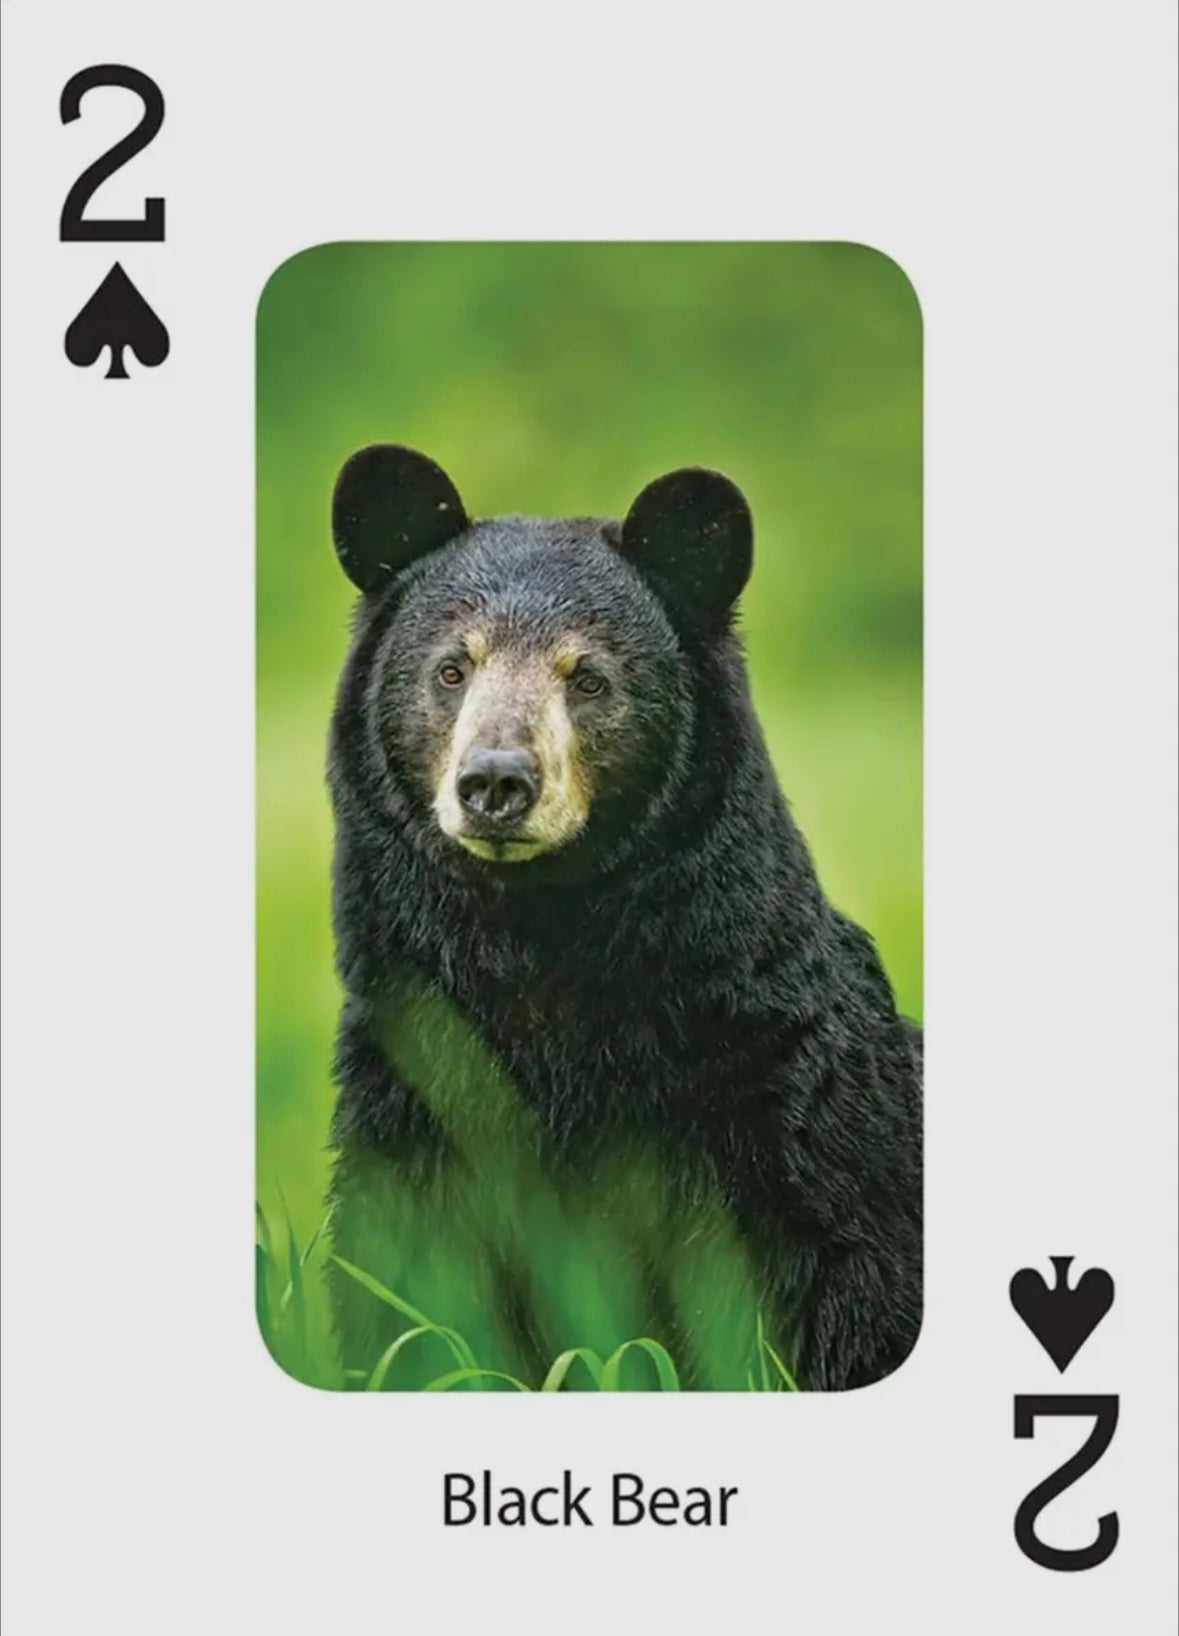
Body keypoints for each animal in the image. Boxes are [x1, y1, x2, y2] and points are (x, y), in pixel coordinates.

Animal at [324, 443, 922, 1391]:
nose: (496, 781)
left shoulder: (783, 1125)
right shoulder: (413, 1101)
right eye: (452, 668)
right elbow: (408, 1301)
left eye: (589, 677)